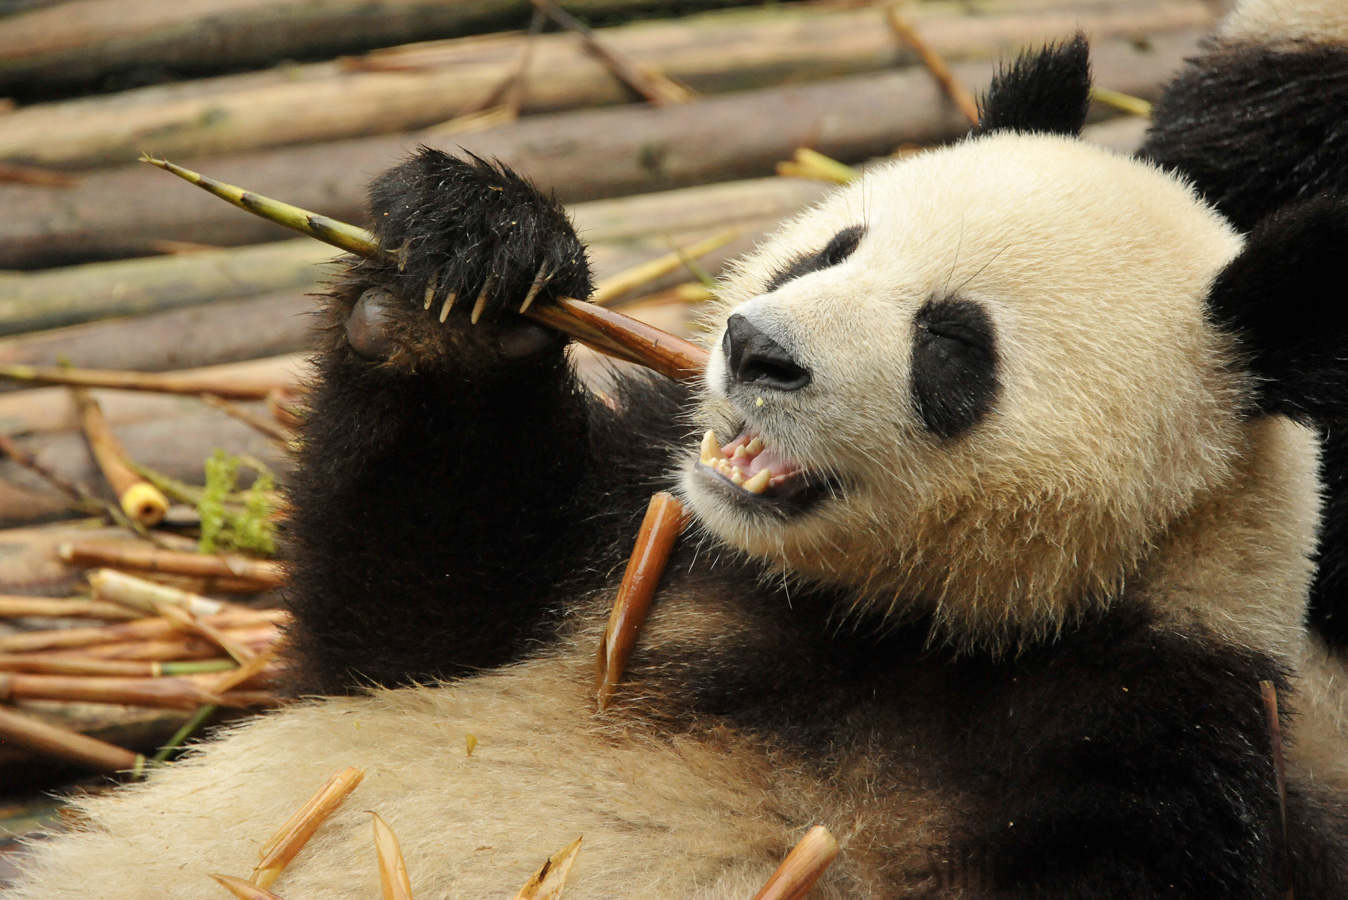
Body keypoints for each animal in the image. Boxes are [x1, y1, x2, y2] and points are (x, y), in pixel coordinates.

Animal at [7, 7, 1348, 900]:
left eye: (951, 346)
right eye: (834, 249)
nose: (757, 349)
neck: (898, 629)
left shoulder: (1140, 747)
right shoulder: (633, 552)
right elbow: (395, 626)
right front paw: (470, 262)